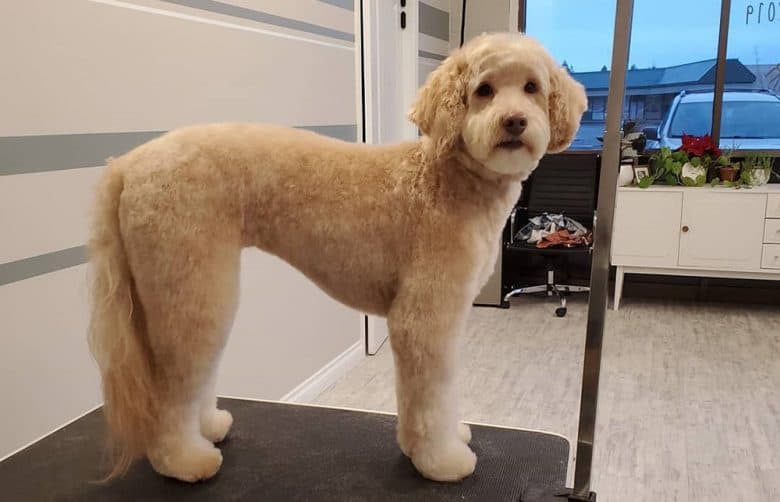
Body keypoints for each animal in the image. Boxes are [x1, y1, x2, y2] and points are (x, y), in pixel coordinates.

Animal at [85, 30, 584, 482]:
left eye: (532, 87)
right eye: (483, 90)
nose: (514, 121)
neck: (447, 177)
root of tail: (128, 164)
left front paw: (438, 440)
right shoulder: (424, 316)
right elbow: (432, 397)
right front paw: (440, 459)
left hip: (194, 287)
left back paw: (207, 428)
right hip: (189, 279)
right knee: (172, 388)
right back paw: (183, 460)